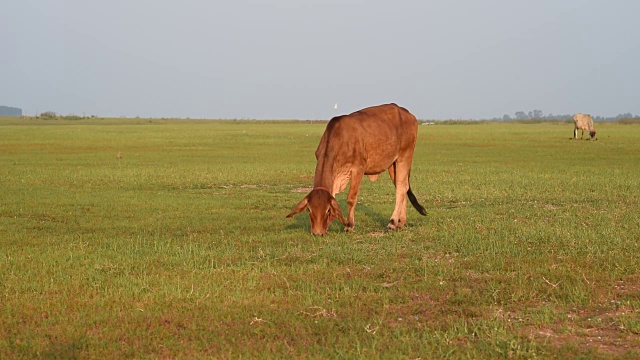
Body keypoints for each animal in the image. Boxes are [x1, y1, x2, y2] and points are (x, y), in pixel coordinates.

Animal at [284, 102, 424, 235]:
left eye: (327, 210)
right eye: (309, 210)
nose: (317, 233)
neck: (339, 139)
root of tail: (407, 113)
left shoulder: (358, 168)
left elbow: (351, 198)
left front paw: (349, 225)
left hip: (404, 156)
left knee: (401, 188)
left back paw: (393, 222)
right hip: (392, 164)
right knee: (403, 186)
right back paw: (401, 222)